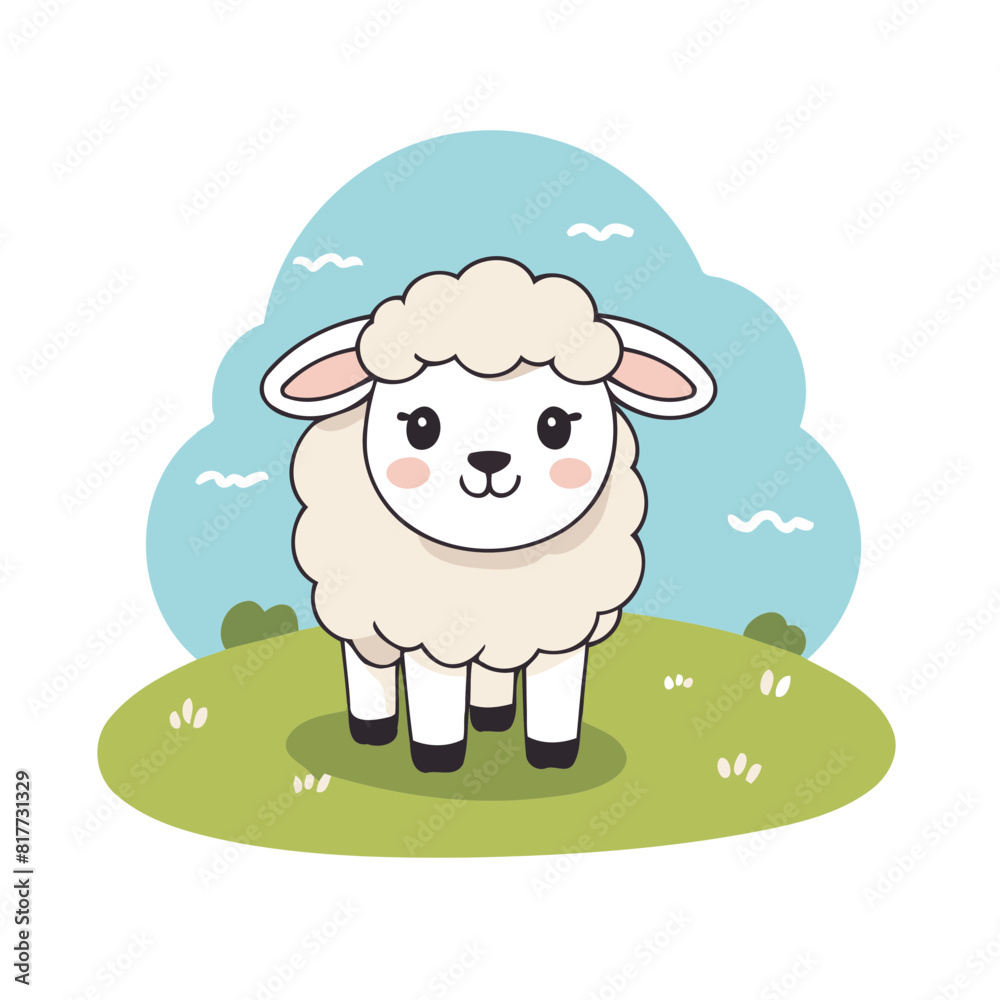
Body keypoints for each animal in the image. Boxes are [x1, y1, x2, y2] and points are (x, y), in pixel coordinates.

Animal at [261, 257, 715, 772]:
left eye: (556, 424)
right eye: (421, 425)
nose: (489, 460)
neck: (494, 561)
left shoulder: (561, 629)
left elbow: (554, 699)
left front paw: (552, 757)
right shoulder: (425, 630)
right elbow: (434, 701)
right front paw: (437, 760)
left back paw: (492, 717)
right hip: (355, 607)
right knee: (368, 663)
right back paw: (373, 730)